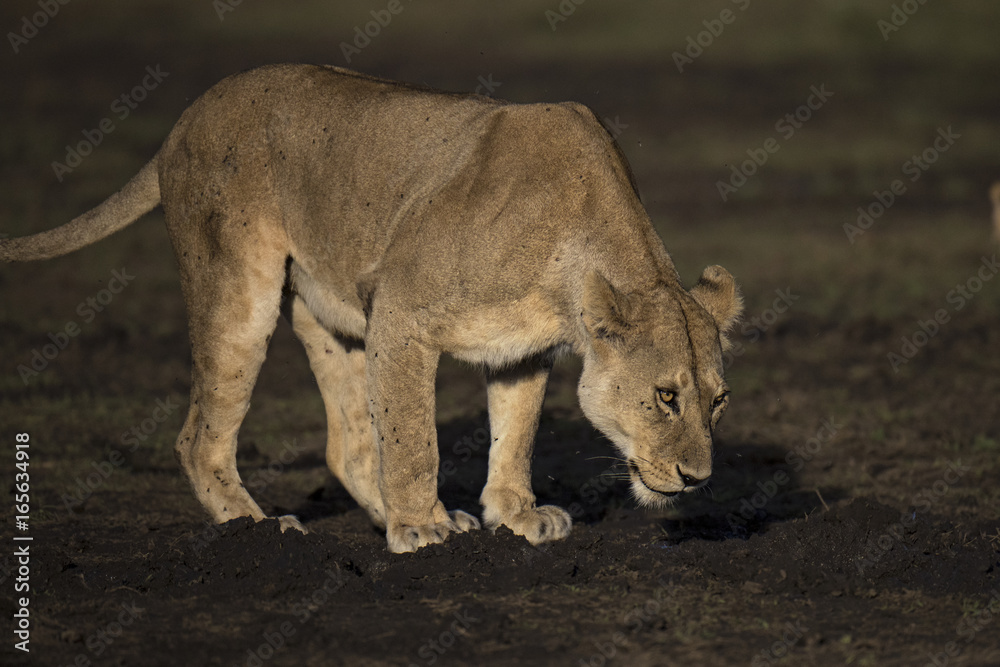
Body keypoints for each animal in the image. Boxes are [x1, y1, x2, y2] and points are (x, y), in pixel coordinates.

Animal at [0, 64, 742, 553]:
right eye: (667, 396)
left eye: (719, 400)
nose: (698, 478)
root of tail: (186, 117)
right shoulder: (402, 313)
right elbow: (414, 436)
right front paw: (420, 526)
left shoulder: (519, 348)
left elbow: (516, 430)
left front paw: (513, 514)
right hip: (239, 289)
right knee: (199, 435)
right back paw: (261, 527)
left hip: (328, 312)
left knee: (348, 442)